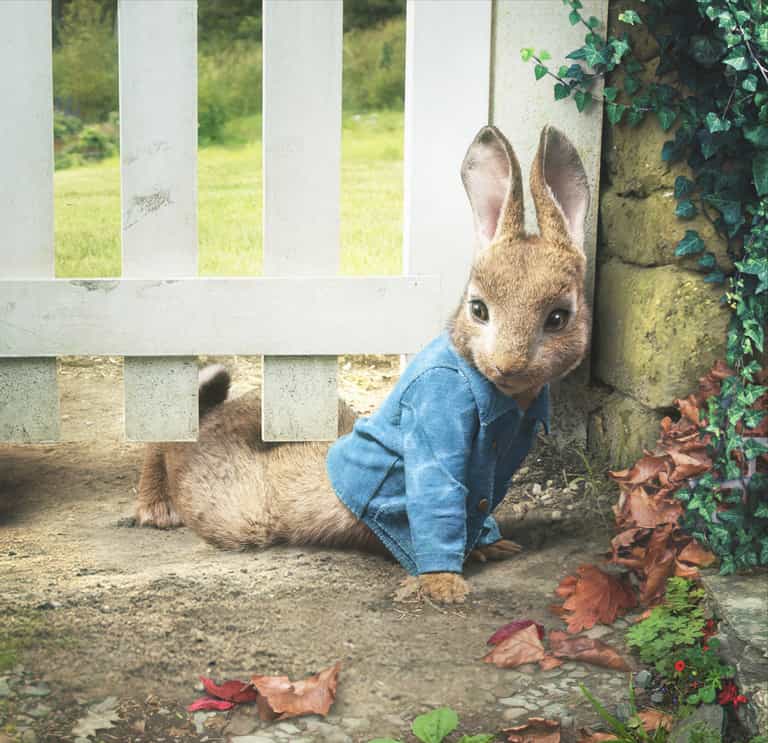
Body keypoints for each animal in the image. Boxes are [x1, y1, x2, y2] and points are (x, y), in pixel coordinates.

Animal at [135, 124, 591, 604]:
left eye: (558, 318)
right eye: (479, 310)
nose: (508, 364)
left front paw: (493, 545)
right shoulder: (438, 425)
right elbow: (438, 503)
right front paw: (444, 585)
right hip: (235, 507)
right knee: (172, 442)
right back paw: (156, 507)